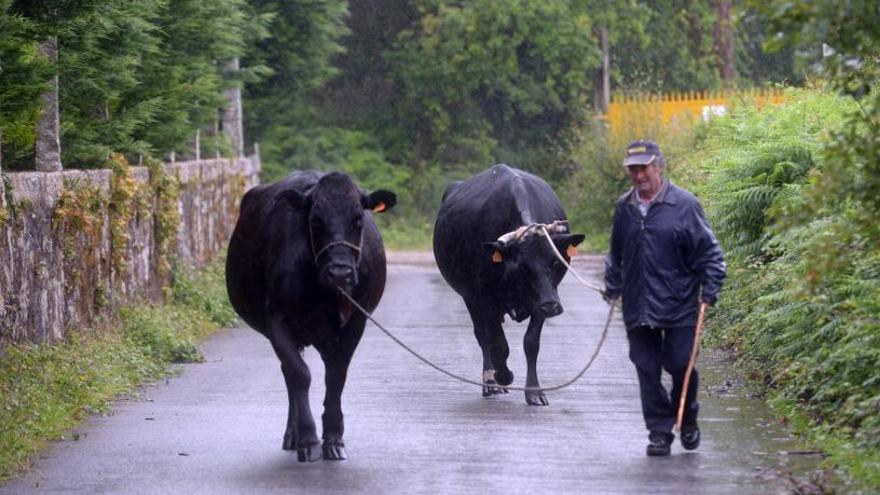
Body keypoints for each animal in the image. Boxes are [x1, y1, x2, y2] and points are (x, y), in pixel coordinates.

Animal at [227, 170, 396, 462]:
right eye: (315, 220)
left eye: (358, 218)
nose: (340, 273)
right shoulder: (278, 319)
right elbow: (300, 375)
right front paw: (307, 438)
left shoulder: (355, 322)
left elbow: (336, 377)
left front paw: (334, 438)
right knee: (289, 373)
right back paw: (293, 435)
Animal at [434, 165, 584, 404]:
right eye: (523, 266)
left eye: (554, 261)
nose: (552, 306)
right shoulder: (485, 298)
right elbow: (498, 344)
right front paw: (504, 376)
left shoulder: (541, 298)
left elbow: (531, 343)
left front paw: (534, 391)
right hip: (469, 298)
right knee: (483, 337)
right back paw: (490, 382)